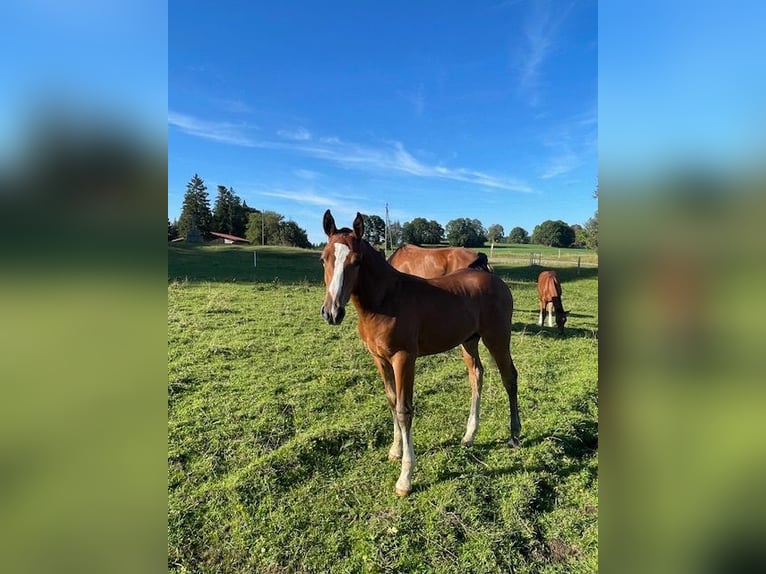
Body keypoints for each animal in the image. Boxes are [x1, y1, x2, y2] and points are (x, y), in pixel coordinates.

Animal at [318, 213, 520, 500]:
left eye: (356, 261)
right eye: (323, 258)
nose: (332, 312)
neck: (386, 301)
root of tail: (493, 277)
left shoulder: (404, 358)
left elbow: (405, 410)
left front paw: (405, 478)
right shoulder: (379, 359)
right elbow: (392, 401)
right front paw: (395, 450)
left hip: (498, 338)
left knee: (509, 378)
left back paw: (514, 435)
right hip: (469, 341)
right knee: (476, 376)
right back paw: (469, 435)